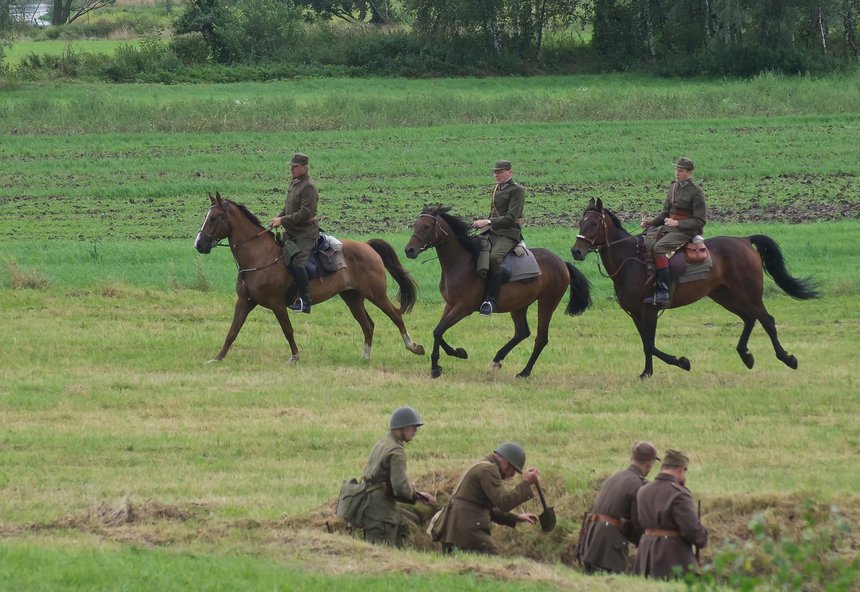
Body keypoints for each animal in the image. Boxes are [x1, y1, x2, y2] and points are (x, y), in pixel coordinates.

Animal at [193, 192, 424, 364]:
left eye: (214, 217)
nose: (199, 244)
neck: (260, 256)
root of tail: (368, 247)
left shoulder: (277, 304)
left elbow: (287, 330)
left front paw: (295, 357)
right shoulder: (244, 302)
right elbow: (232, 331)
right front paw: (218, 358)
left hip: (376, 294)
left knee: (395, 315)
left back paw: (414, 347)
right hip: (352, 297)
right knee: (368, 325)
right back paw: (365, 357)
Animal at [404, 206, 592, 376]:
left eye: (427, 226)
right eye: (415, 224)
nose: (409, 250)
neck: (461, 262)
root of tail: (562, 263)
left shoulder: (463, 308)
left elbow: (438, 331)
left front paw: (435, 368)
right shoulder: (450, 305)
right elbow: (438, 331)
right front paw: (458, 353)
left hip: (547, 303)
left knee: (541, 338)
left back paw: (524, 372)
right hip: (519, 305)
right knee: (522, 332)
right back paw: (496, 360)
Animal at [572, 197, 820, 376]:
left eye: (593, 223)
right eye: (580, 222)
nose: (576, 251)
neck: (631, 261)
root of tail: (744, 240)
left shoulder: (649, 310)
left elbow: (650, 344)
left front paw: (682, 362)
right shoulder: (635, 313)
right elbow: (646, 343)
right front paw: (647, 372)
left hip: (750, 294)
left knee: (767, 320)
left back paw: (787, 358)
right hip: (724, 295)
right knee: (749, 318)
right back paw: (746, 356)